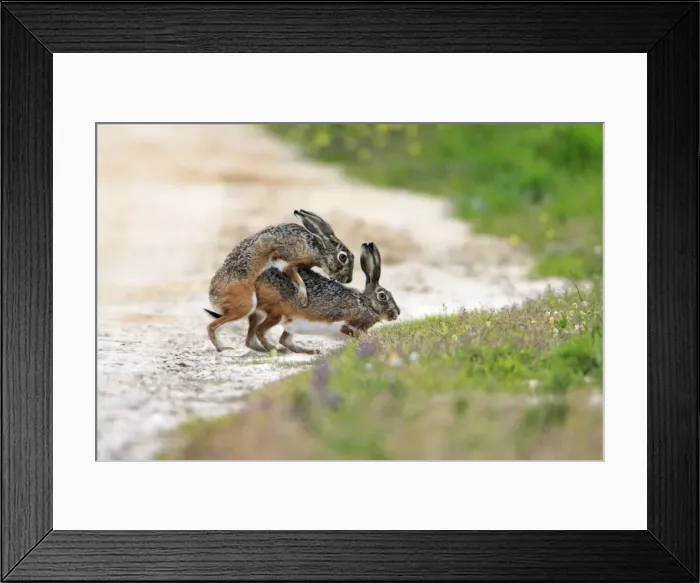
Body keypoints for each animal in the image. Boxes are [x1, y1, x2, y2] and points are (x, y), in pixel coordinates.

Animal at [206, 209, 354, 352]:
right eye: (342, 257)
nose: (348, 279)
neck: (317, 249)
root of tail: (214, 298)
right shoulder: (285, 258)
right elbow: (296, 277)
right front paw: (303, 298)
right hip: (246, 304)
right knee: (211, 326)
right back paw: (221, 347)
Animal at [232, 242, 399, 354]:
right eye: (382, 296)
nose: (397, 313)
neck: (365, 304)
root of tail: (255, 281)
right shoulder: (347, 323)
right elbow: (357, 333)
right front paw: (378, 340)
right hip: (277, 313)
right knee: (261, 331)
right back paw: (276, 350)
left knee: (272, 339)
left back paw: (307, 351)